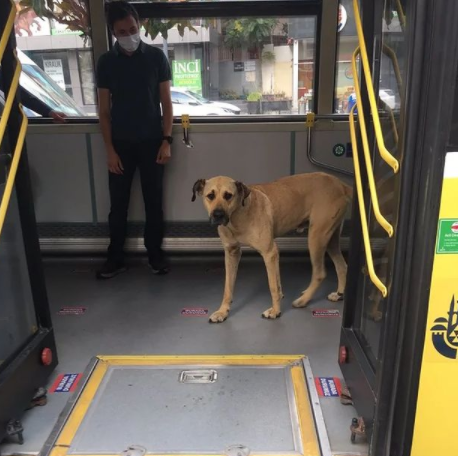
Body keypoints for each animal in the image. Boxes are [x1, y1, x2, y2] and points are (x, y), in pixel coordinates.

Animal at [191, 172, 352, 324]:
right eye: (210, 196)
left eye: (228, 196)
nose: (218, 215)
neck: (238, 214)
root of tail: (340, 184)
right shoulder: (232, 253)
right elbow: (228, 288)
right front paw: (222, 312)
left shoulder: (269, 252)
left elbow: (272, 285)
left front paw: (275, 311)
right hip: (330, 239)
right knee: (342, 265)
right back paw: (339, 294)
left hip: (316, 238)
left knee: (320, 273)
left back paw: (303, 300)